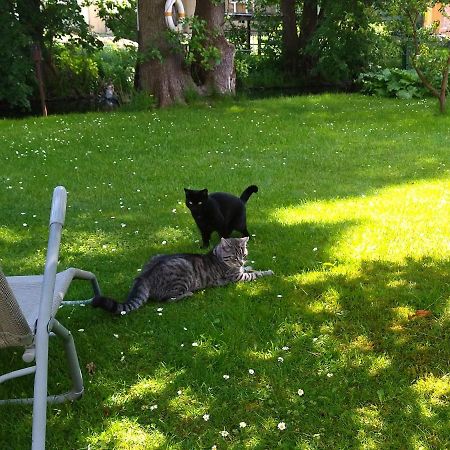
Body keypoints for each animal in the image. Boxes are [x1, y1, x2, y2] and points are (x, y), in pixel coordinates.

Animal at [91, 237, 272, 314]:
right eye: (234, 257)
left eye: (244, 255)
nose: (240, 262)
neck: (219, 256)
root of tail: (143, 277)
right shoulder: (236, 278)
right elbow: (254, 274)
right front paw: (267, 271)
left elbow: (250, 269)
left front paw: (250, 266)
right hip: (182, 274)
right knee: (167, 299)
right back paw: (188, 294)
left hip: (156, 256)